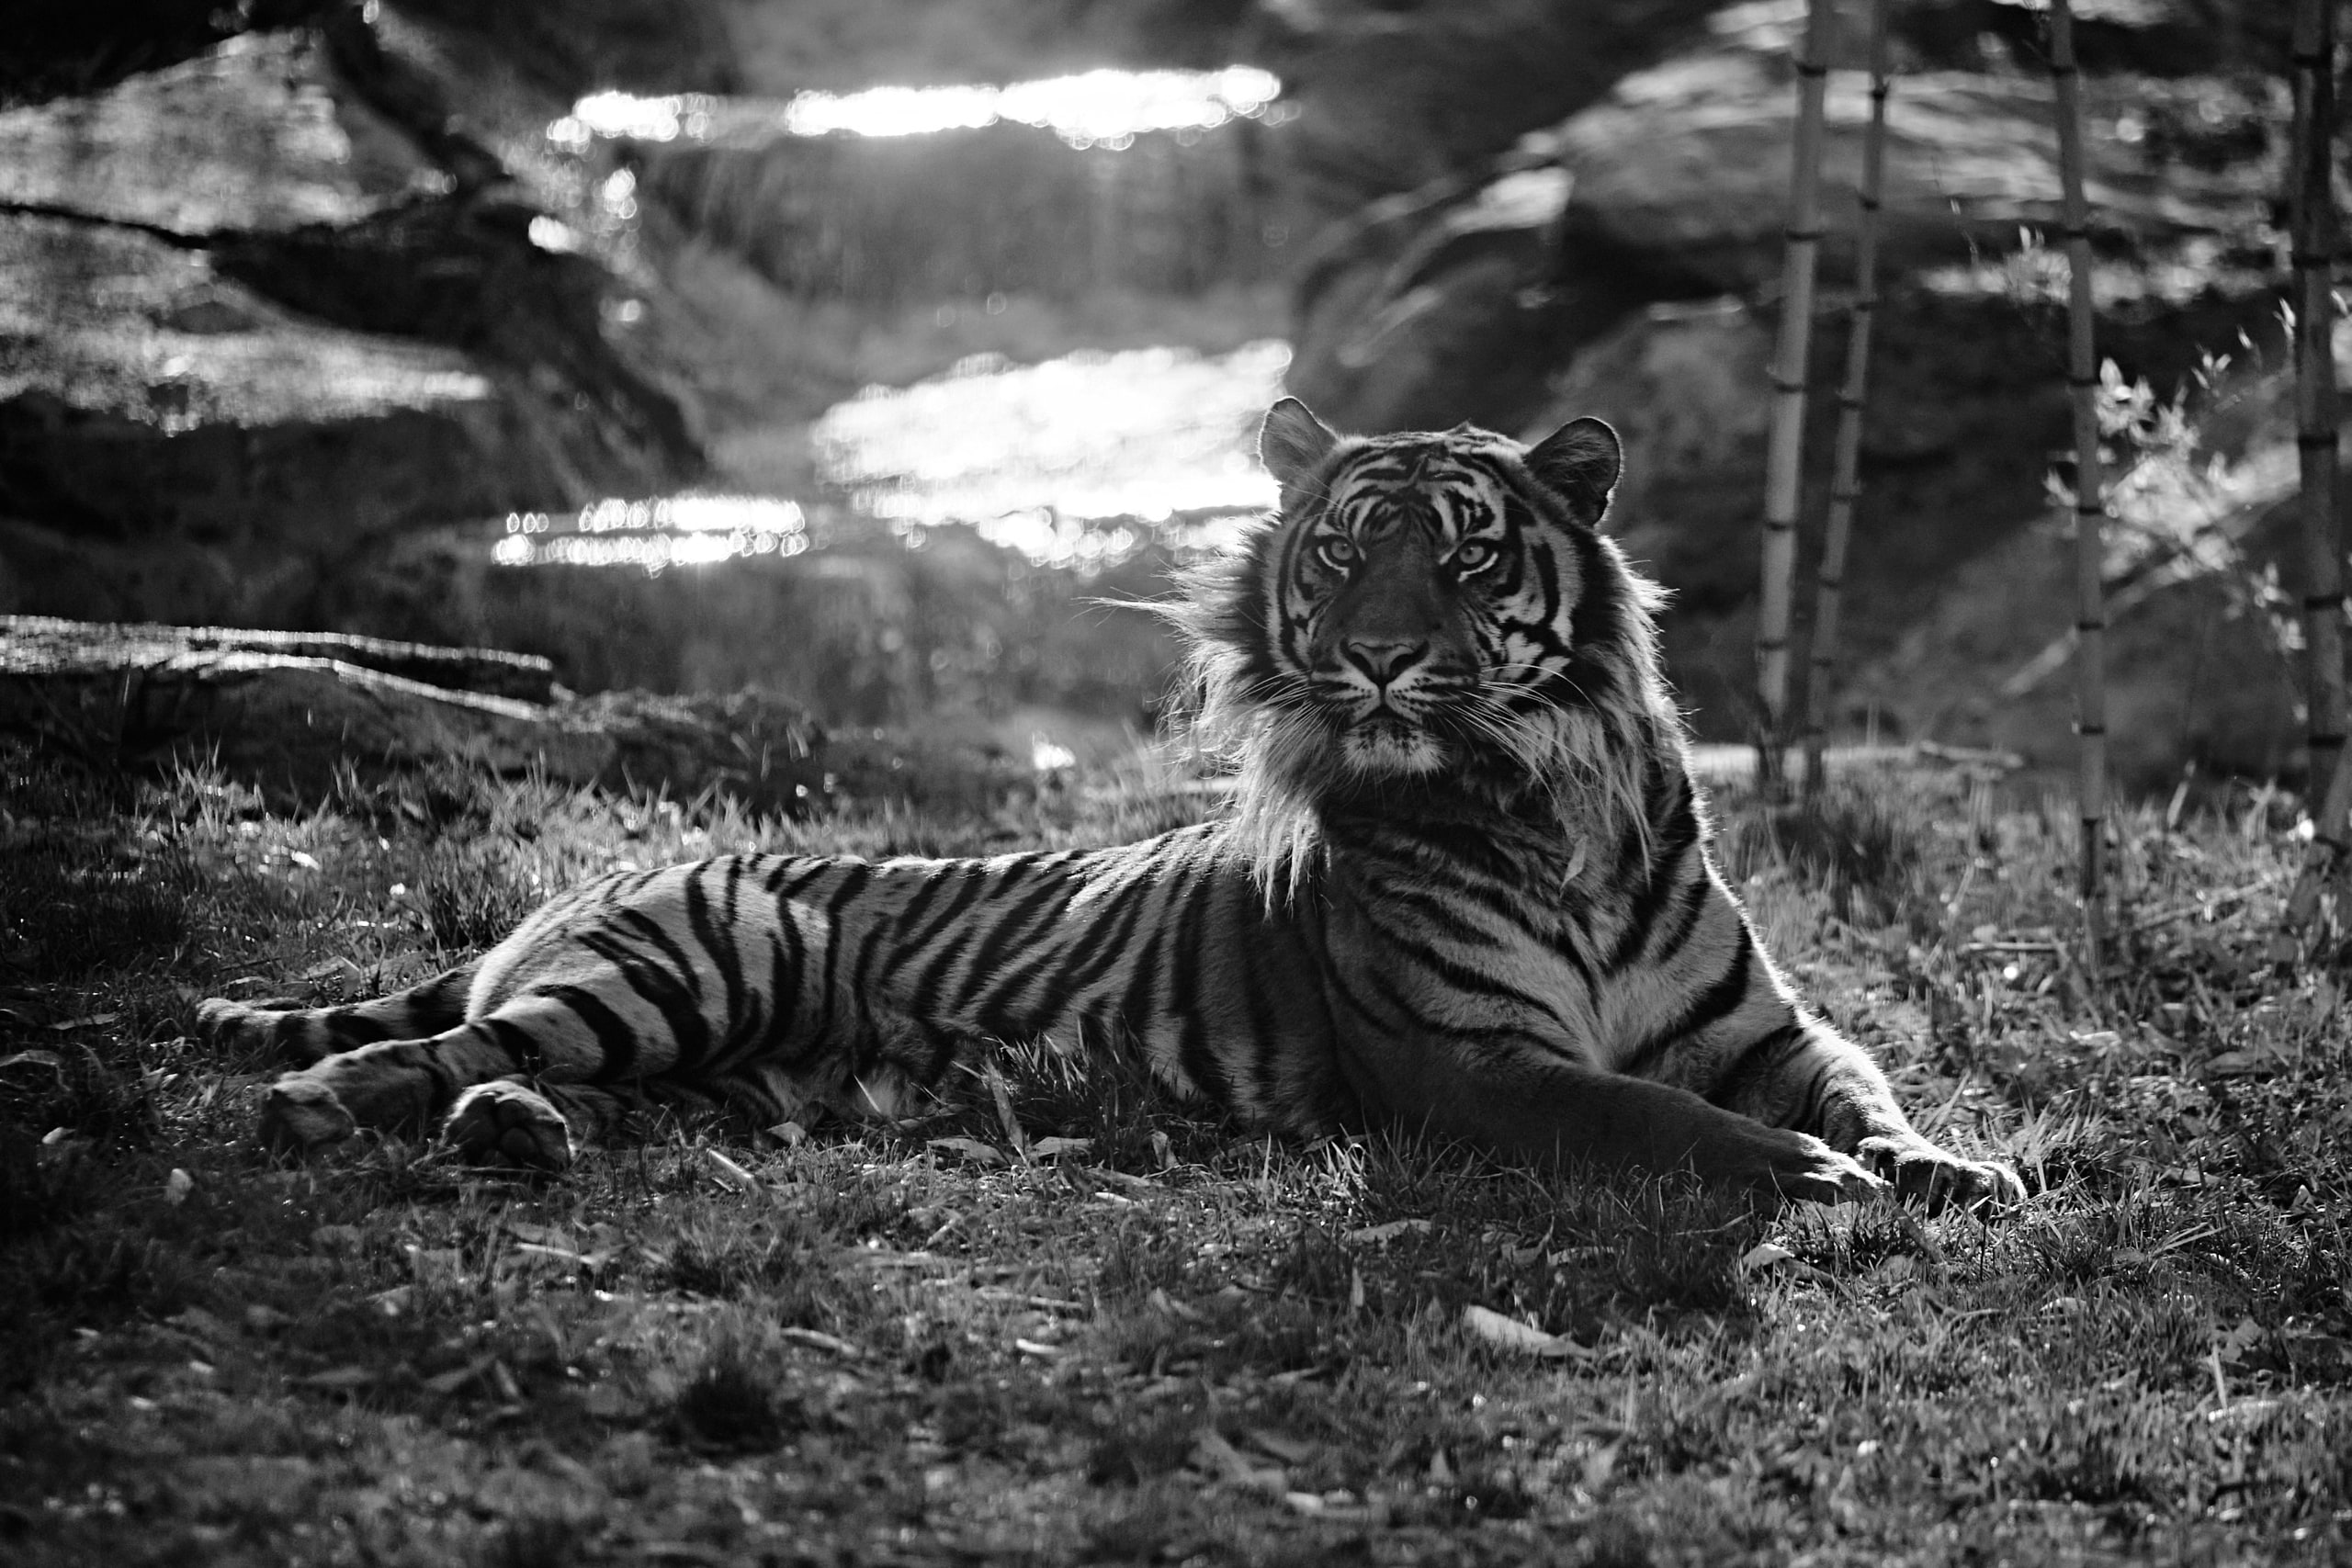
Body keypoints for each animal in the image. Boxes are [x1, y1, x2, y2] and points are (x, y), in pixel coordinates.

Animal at [198, 398, 2022, 1214]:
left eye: (1464, 553)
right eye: (1346, 552)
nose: (1374, 657)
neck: (1542, 803)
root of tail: (571, 889)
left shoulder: (1761, 1019)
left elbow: (1863, 1079)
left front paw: (1953, 1163)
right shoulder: (1480, 1064)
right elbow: (1652, 1115)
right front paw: (1814, 1175)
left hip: (708, 1050)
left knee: (526, 1075)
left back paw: (514, 1132)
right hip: (693, 965)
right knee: (427, 1046)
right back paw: (336, 1106)